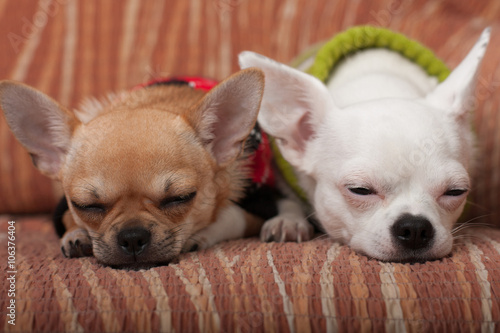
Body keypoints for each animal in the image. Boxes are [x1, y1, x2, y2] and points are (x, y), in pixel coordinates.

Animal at [0, 68, 266, 268]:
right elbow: (67, 219)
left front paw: (201, 235)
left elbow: (230, 216)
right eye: (86, 205)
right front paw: (76, 234)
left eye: (180, 198)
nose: (133, 237)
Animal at [240, 27, 490, 260]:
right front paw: (288, 220)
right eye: (360, 190)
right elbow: (286, 198)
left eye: (456, 192)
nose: (415, 227)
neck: (379, 85)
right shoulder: (283, 175)